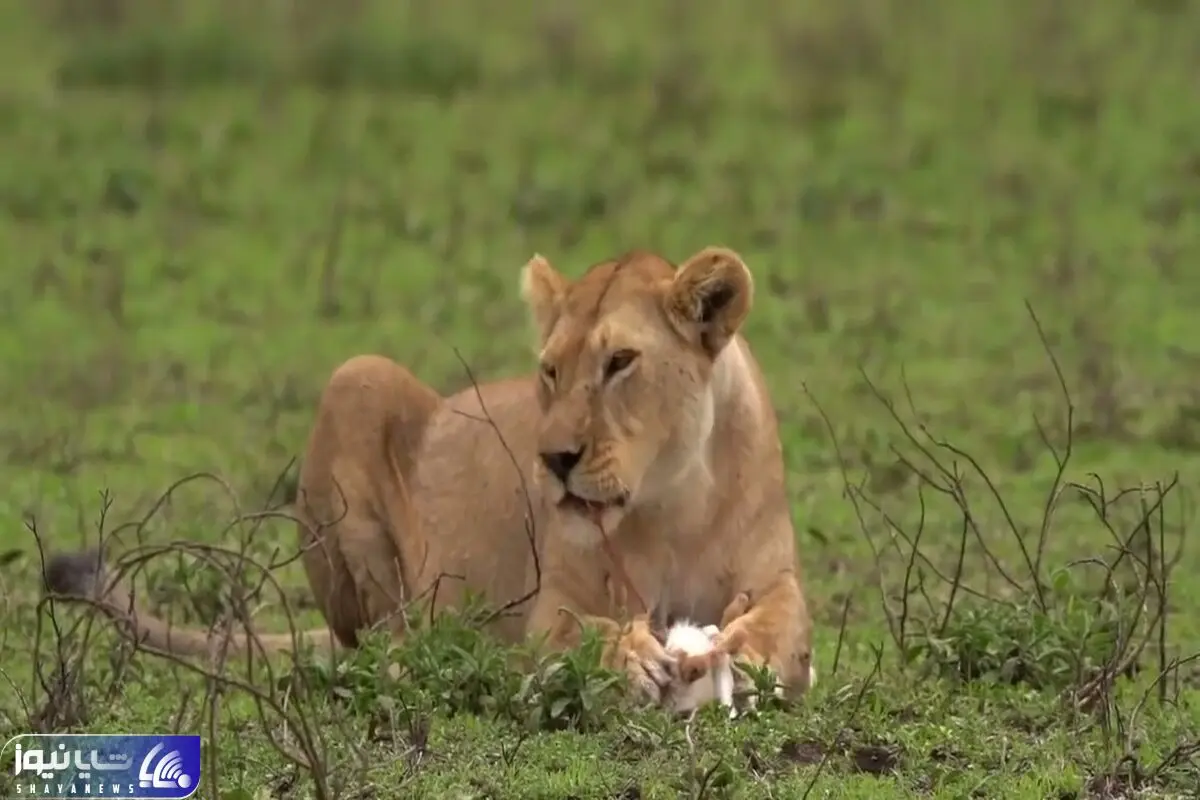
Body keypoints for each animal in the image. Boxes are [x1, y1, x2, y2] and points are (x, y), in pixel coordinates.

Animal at [43, 246, 815, 704]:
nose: (554, 459)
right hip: (356, 380)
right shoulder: (549, 604)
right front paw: (633, 657)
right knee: (383, 642)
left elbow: (785, 622)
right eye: (551, 370)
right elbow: (576, 631)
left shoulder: (776, 576)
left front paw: (746, 657)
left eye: (621, 362)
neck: (671, 500)